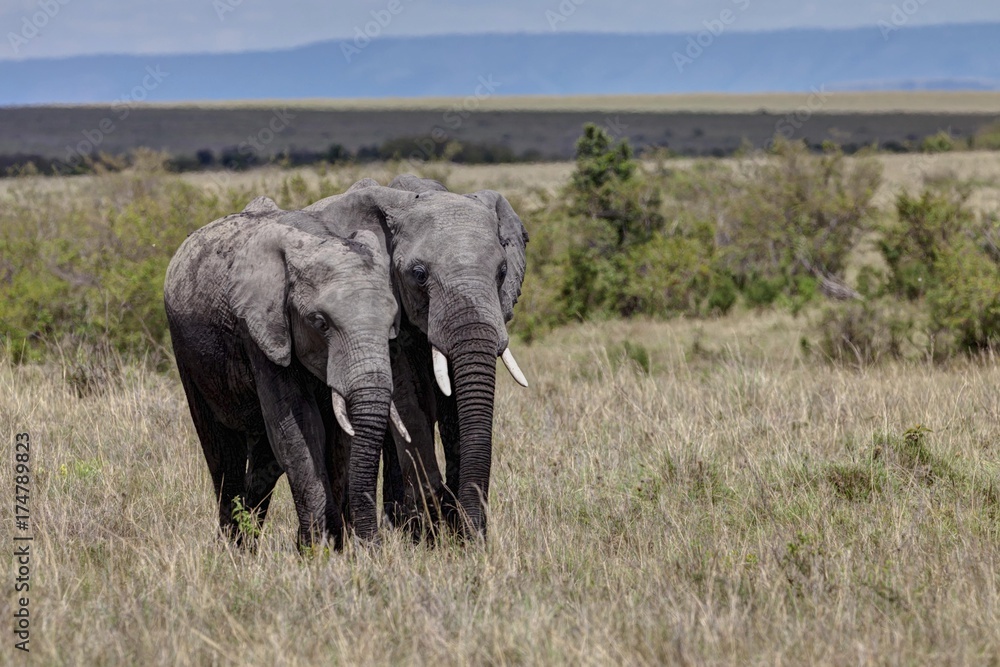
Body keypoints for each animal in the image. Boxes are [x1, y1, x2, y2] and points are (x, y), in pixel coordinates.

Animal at [163, 195, 409, 548]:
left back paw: (245, 543)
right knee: (223, 453)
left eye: (392, 324)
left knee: (264, 460)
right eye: (320, 323)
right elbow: (298, 427)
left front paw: (332, 547)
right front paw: (317, 549)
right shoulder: (260, 331)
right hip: (187, 353)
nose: (374, 545)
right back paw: (231, 548)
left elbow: (337, 438)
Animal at [274, 176, 529, 540]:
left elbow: (457, 406)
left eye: (503, 271)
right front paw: (434, 532)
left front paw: (456, 531)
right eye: (419, 274)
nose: (475, 536)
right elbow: (408, 398)